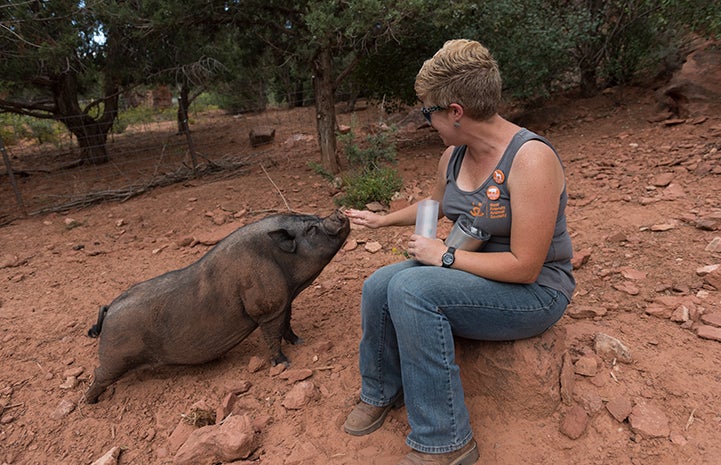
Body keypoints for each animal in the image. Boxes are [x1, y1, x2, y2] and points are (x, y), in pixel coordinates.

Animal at [84, 210, 348, 402]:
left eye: (314, 217)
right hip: (115, 357)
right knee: (99, 375)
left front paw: (300, 342)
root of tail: (110, 308)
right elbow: (272, 336)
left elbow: (287, 325)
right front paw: (284, 364)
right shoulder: (266, 308)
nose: (339, 212)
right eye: (312, 230)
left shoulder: (283, 302)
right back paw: (90, 402)